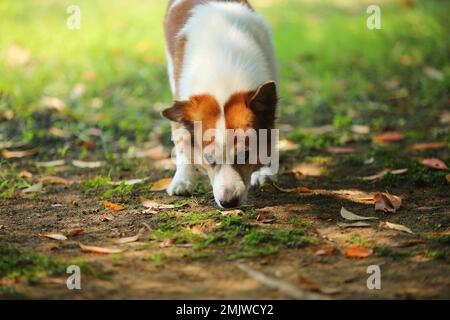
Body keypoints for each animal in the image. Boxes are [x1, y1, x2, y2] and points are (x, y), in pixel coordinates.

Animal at [163, 0, 280, 208]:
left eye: (245, 155)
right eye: (209, 159)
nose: (229, 202)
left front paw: (264, 170)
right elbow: (182, 140)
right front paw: (182, 179)